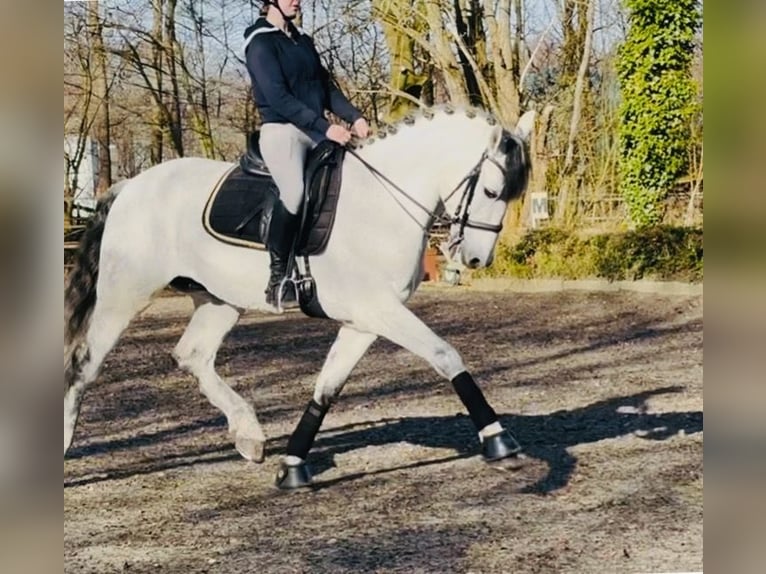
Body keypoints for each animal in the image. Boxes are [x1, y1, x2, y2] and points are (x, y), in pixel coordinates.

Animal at [64, 106, 534, 489]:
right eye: (492, 192)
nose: (475, 259)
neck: (381, 202)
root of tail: (130, 187)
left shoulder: (364, 320)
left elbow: (326, 389)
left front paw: (292, 466)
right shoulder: (380, 310)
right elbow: (445, 355)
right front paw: (499, 441)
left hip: (219, 300)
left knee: (192, 355)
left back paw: (248, 435)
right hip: (125, 294)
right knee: (84, 364)